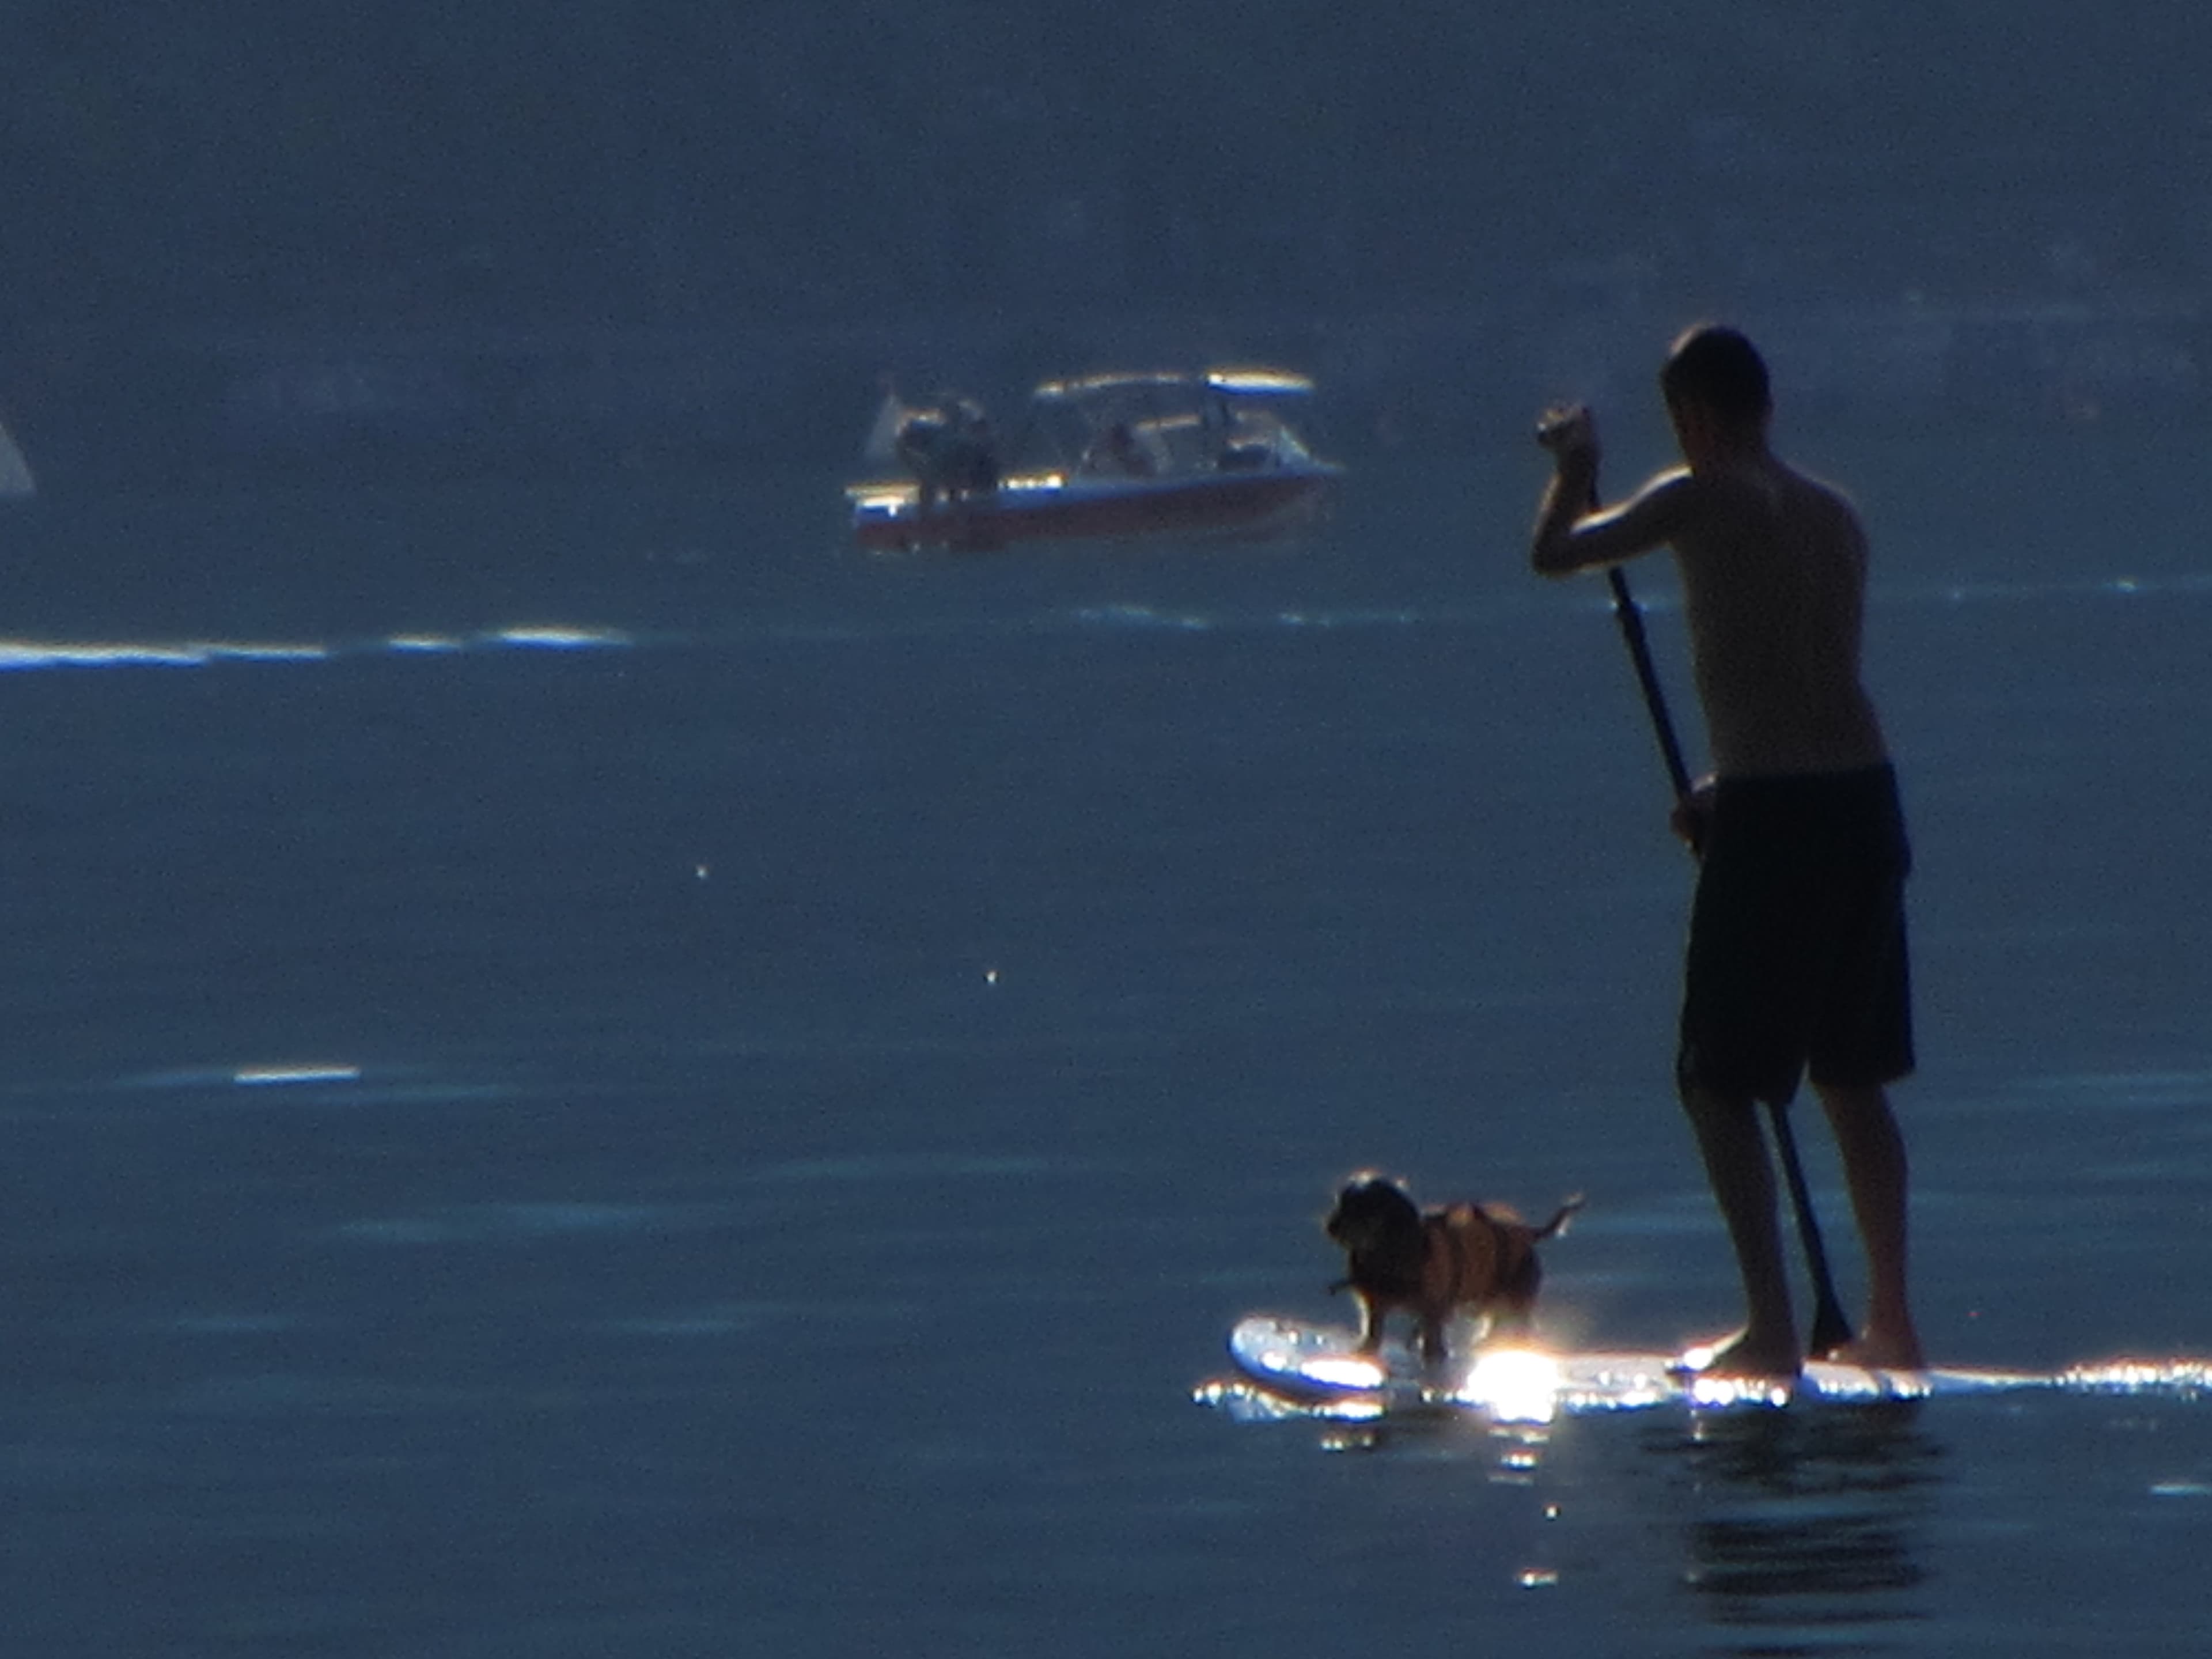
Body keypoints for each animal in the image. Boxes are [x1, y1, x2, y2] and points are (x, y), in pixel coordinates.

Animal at [1318, 1168, 1584, 1362]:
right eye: (1341, 1202)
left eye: (1364, 1207)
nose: (1331, 1228)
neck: (1390, 1256)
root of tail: (1528, 1233)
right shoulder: (1376, 1305)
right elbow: (1374, 1331)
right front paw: (1365, 1351)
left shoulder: (1433, 1309)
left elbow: (1432, 1340)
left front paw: (1434, 1358)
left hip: (1517, 1297)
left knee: (1522, 1325)